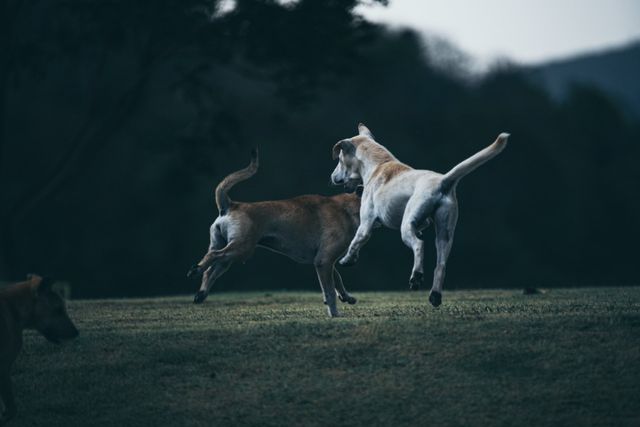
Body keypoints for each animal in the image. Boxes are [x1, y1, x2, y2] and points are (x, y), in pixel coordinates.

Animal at [188, 150, 362, 318]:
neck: (348, 208)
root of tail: (231, 205)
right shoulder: (324, 260)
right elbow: (330, 291)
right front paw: (334, 313)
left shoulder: (324, 261)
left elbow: (337, 280)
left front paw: (346, 296)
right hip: (241, 248)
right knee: (212, 257)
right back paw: (195, 270)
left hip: (227, 254)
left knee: (211, 269)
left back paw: (201, 293)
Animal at [332, 123, 508, 308]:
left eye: (339, 160)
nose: (332, 177)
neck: (379, 164)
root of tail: (442, 181)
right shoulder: (423, 223)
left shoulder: (366, 223)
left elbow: (355, 242)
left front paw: (347, 259)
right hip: (445, 234)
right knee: (441, 265)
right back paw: (435, 295)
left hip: (406, 227)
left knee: (419, 245)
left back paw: (416, 276)